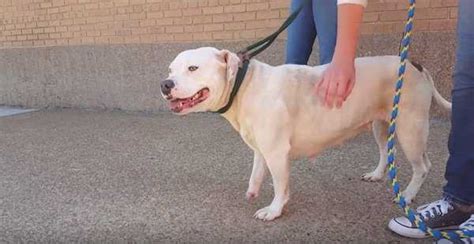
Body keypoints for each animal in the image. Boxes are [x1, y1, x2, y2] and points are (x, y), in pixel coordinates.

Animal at [162, 47, 452, 221]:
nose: (165, 84)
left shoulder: (277, 153)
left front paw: (274, 209)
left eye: (193, 68)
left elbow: (280, 184)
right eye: (170, 70)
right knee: (384, 150)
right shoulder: (262, 148)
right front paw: (253, 190)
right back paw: (377, 173)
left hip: (410, 129)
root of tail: (414, 64)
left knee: (422, 166)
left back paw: (408, 194)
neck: (244, 85)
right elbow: (257, 170)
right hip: (380, 125)